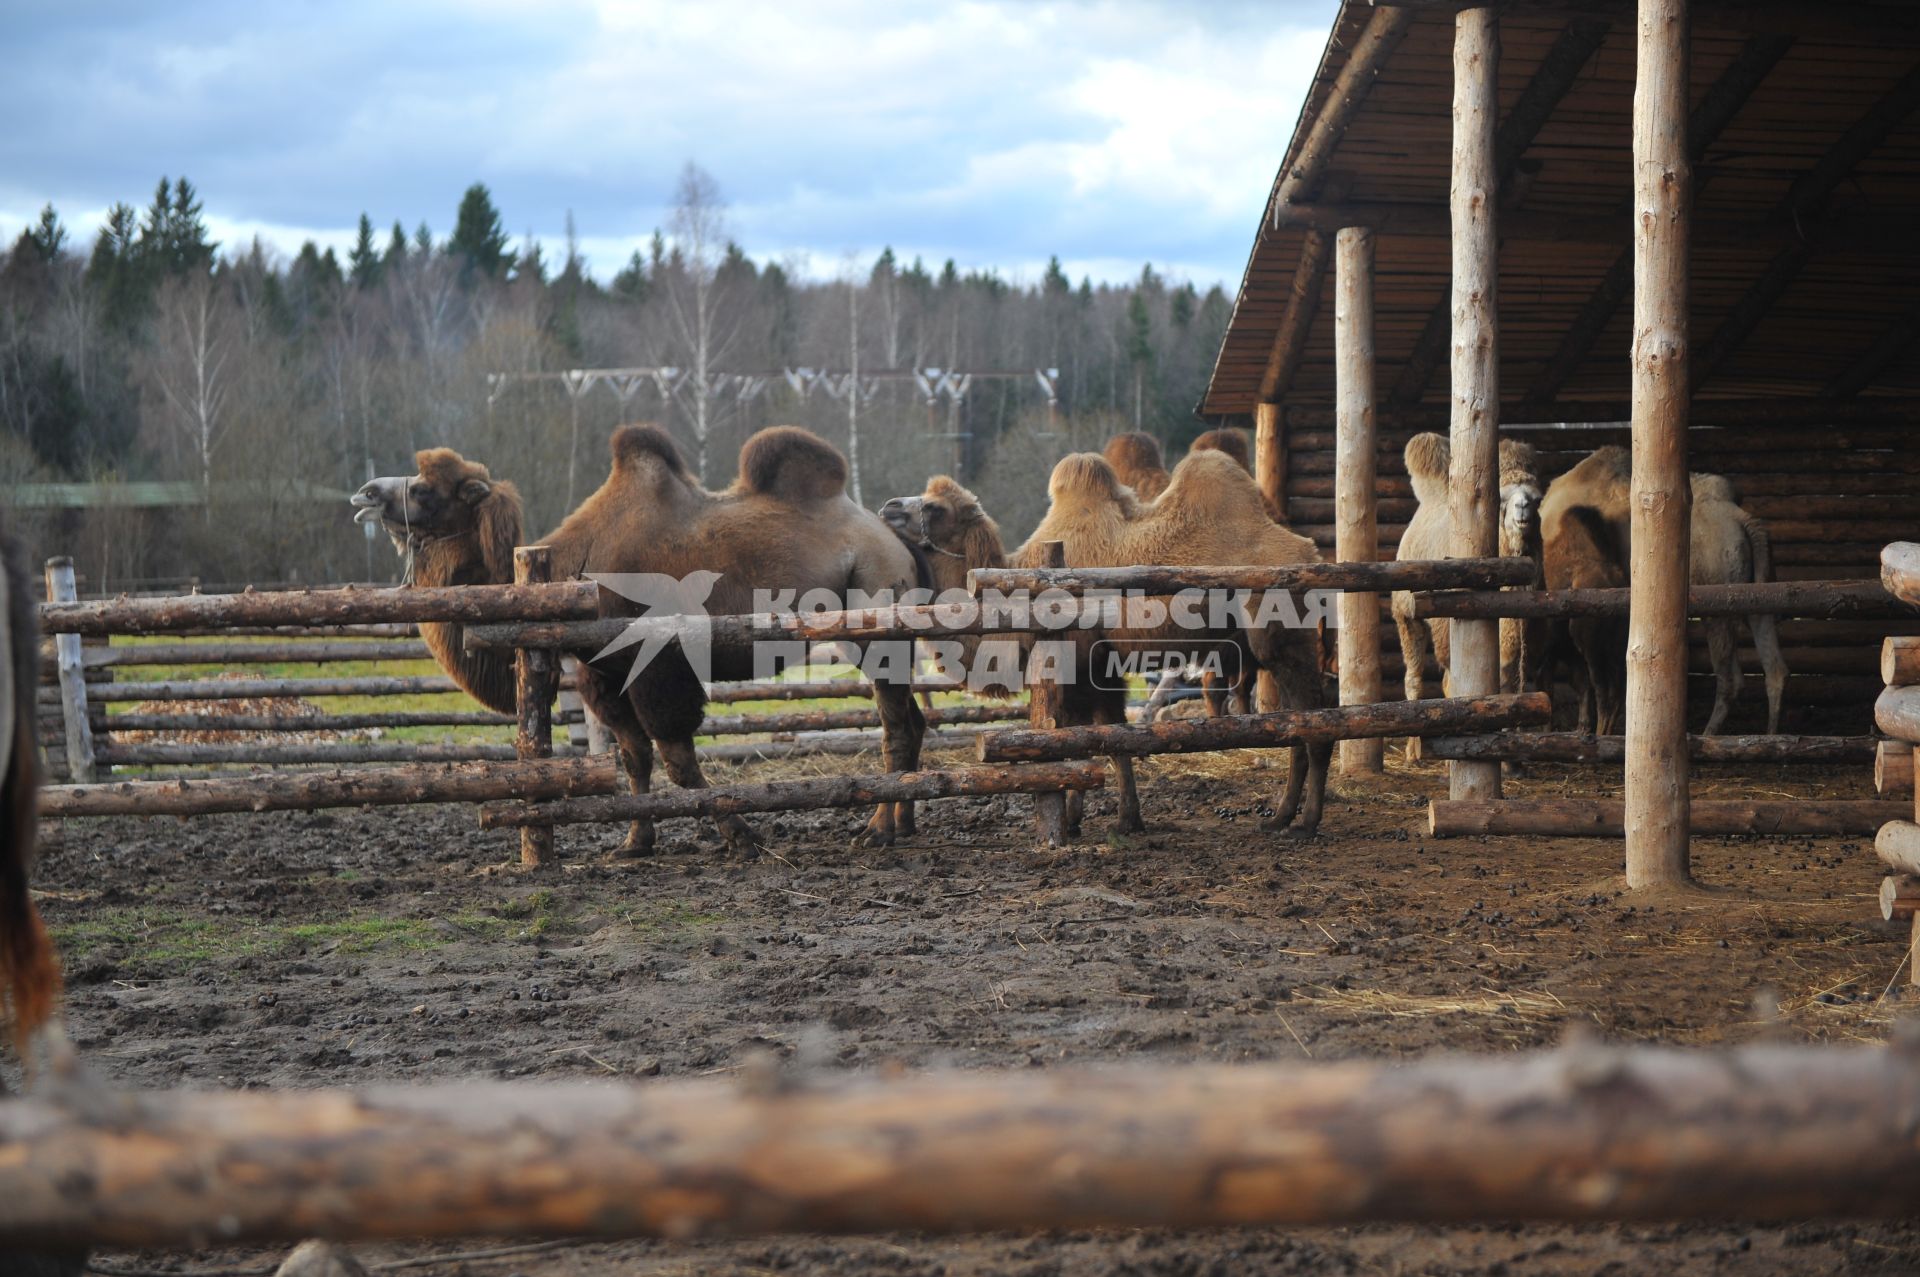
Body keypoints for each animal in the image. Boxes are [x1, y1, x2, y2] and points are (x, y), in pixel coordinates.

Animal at [360, 422, 936, 852]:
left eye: (425, 490)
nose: (366, 492)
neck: (574, 571)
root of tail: (896, 541)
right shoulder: (602, 672)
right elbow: (633, 758)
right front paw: (635, 842)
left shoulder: (656, 665)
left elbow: (678, 762)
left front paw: (741, 835)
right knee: (912, 719)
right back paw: (904, 822)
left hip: (875, 614)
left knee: (893, 724)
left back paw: (879, 828)